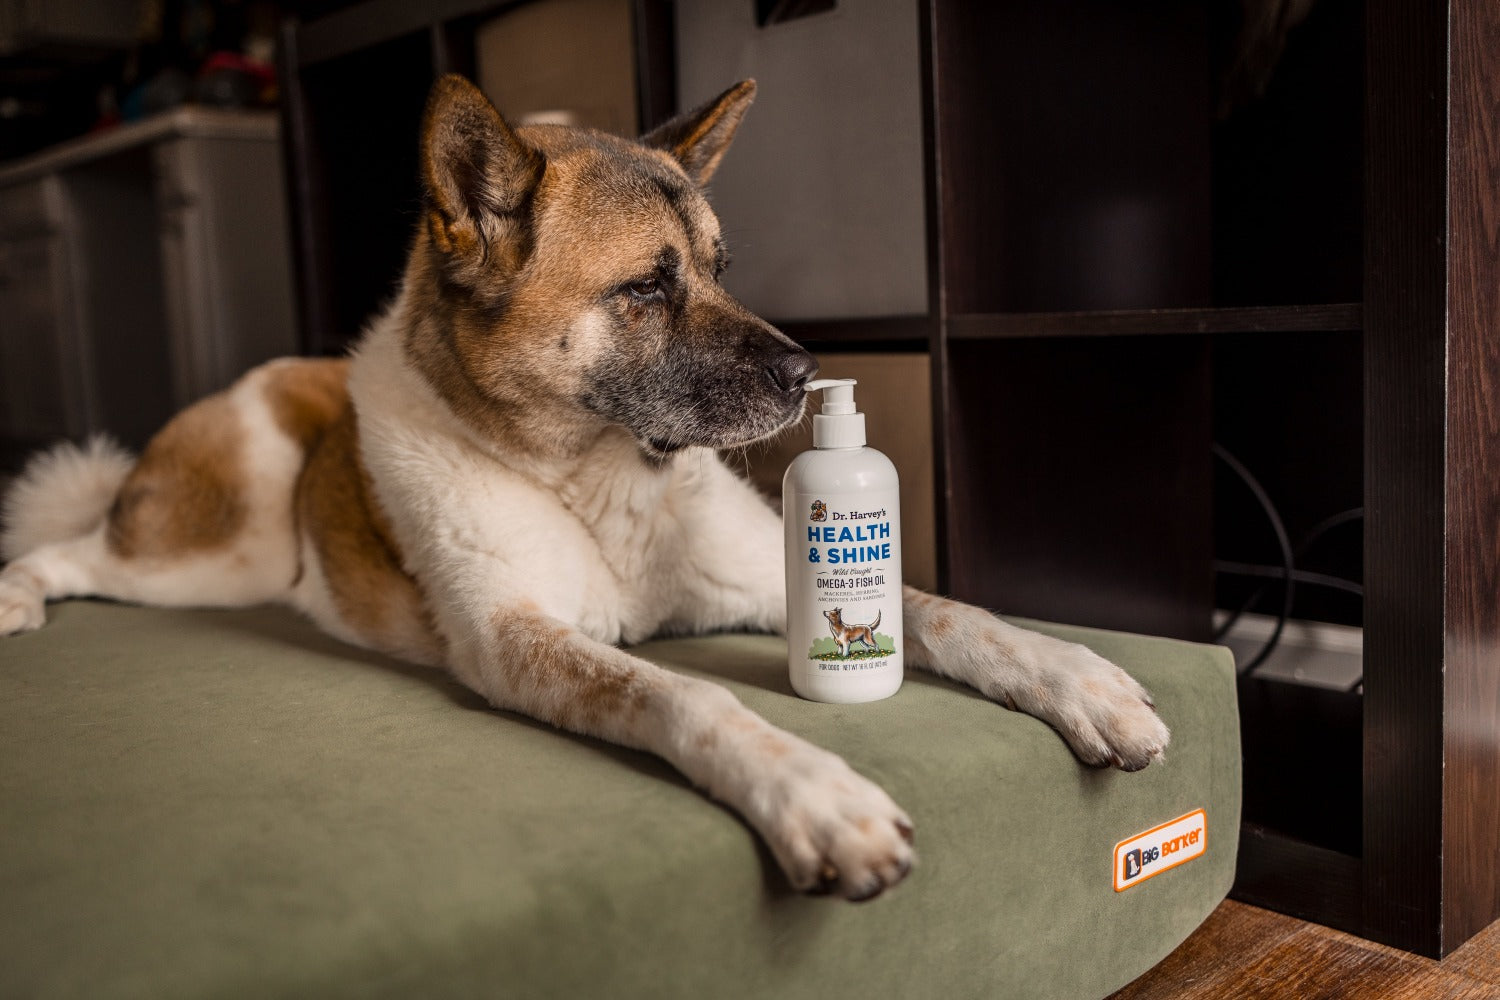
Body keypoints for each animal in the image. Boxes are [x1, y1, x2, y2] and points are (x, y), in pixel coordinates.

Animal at [0, 76, 1164, 905]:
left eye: (722, 267)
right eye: (646, 286)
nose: (806, 375)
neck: (595, 476)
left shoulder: (770, 581)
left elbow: (947, 612)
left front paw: (1077, 678)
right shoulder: (520, 644)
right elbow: (687, 694)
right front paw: (814, 793)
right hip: (220, 549)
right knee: (72, 546)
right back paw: (16, 593)